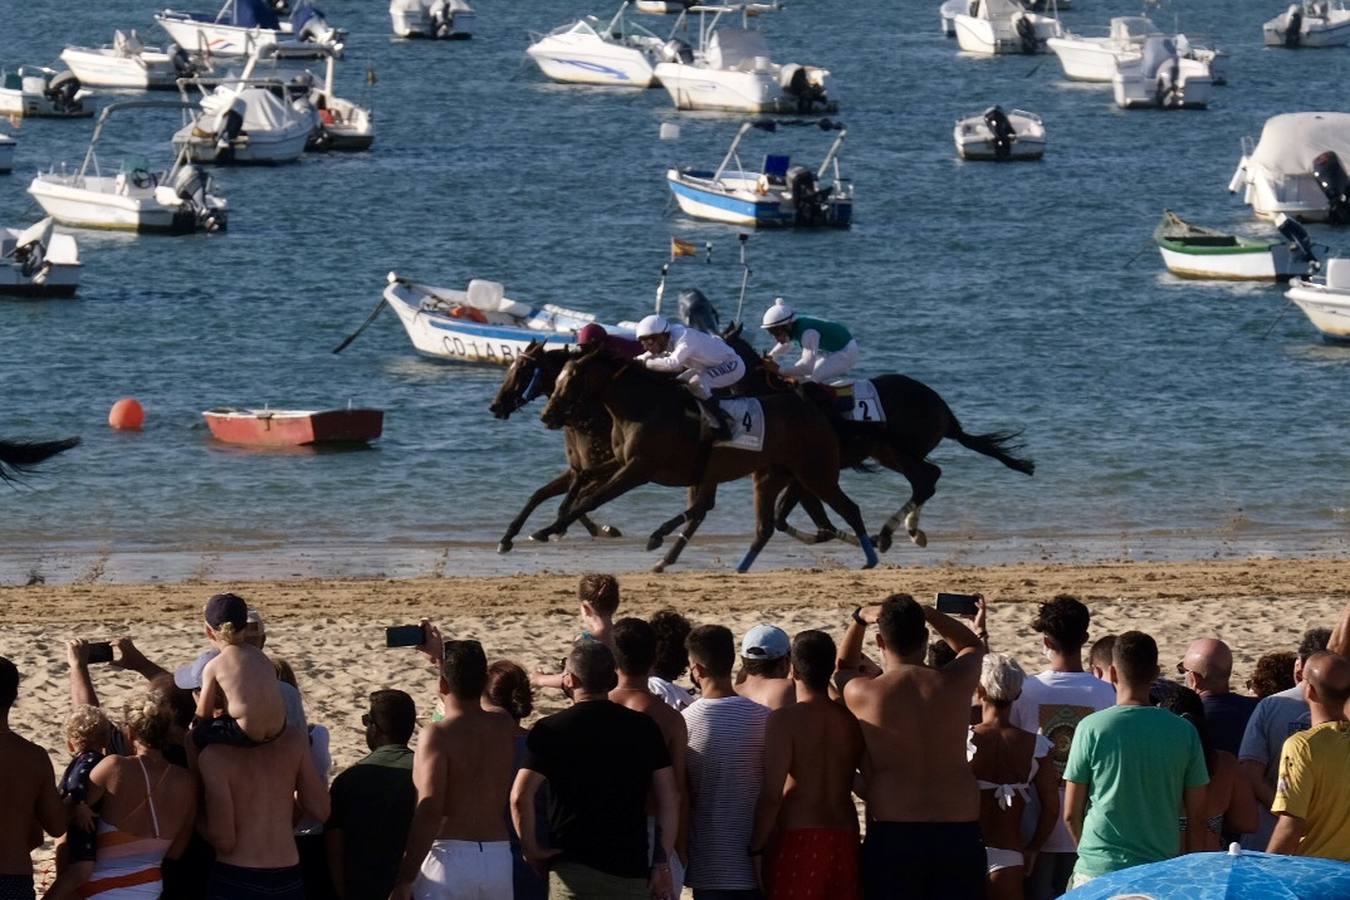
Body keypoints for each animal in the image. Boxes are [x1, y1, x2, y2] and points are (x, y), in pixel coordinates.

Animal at [488, 342, 623, 553]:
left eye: (522, 371)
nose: (495, 405)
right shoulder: (577, 470)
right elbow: (539, 495)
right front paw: (507, 538)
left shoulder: (609, 469)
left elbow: (576, 499)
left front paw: (599, 529)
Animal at [531, 348, 880, 574]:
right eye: (556, 379)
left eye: (571, 380)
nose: (547, 415)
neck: (643, 406)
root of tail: (817, 411)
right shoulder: (622, 462)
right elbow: (586, 479)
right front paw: (549, 524)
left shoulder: (639, 469)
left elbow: (594, 498)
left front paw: (548, 527)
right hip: (768, 476)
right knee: (753, 524)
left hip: (815, 473)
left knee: (850, 509)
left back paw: (871, 557)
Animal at [729, 322, 1031, 550]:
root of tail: (941, 406)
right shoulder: (799, 475)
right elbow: (800, 521)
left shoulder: (804, 473)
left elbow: (798, 518)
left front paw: (866, 539)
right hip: (890, 454)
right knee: (929, 477)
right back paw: (911, 532)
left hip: (902, 451)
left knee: (924, 482)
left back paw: (889, 533)